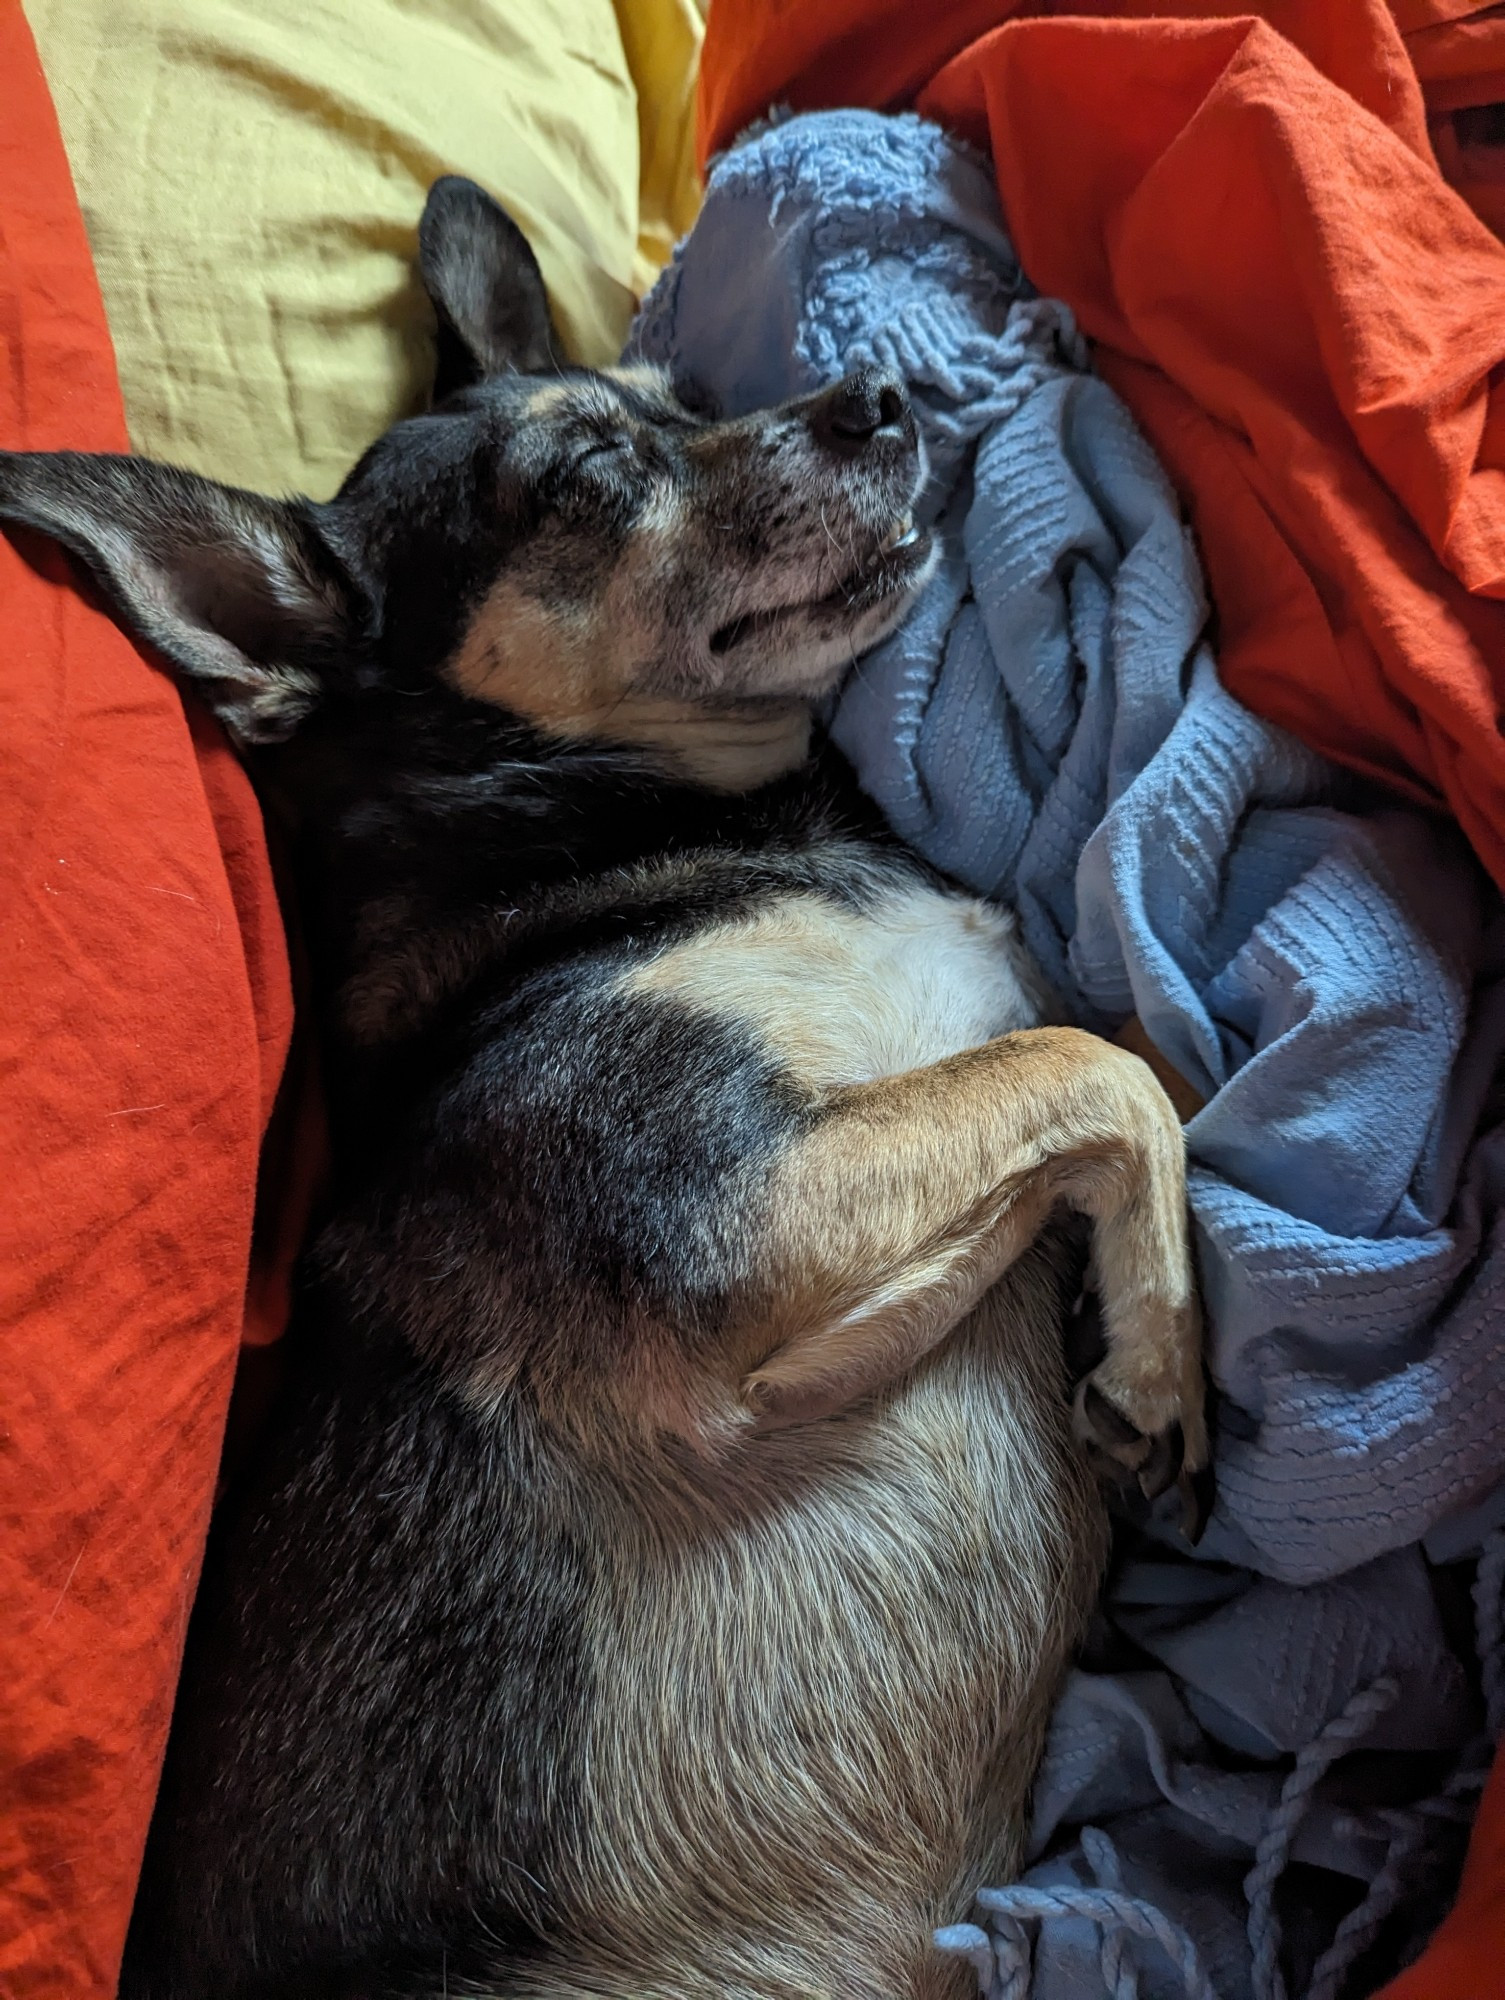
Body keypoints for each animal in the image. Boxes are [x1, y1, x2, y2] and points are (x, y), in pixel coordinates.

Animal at [0, 176, 1208, 2000]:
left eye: (687, 405)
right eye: (579, 483)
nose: (882, 398)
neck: (607, 838)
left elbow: (1099, 1068)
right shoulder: (729, 1242)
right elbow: (1097, 1065)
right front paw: (1158, 1360)